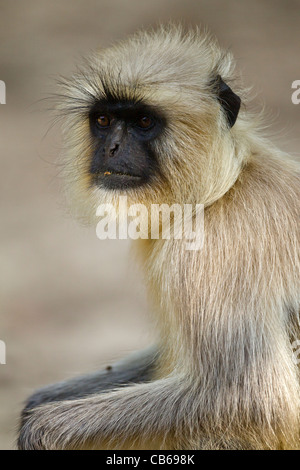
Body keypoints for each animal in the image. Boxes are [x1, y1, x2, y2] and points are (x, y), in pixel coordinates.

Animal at [18, 26, 300, 452]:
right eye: (104, 120)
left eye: (143, 121)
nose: (112, 148)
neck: (223, 189)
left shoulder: (215, 249)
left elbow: (248, 399)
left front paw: (38, 432)